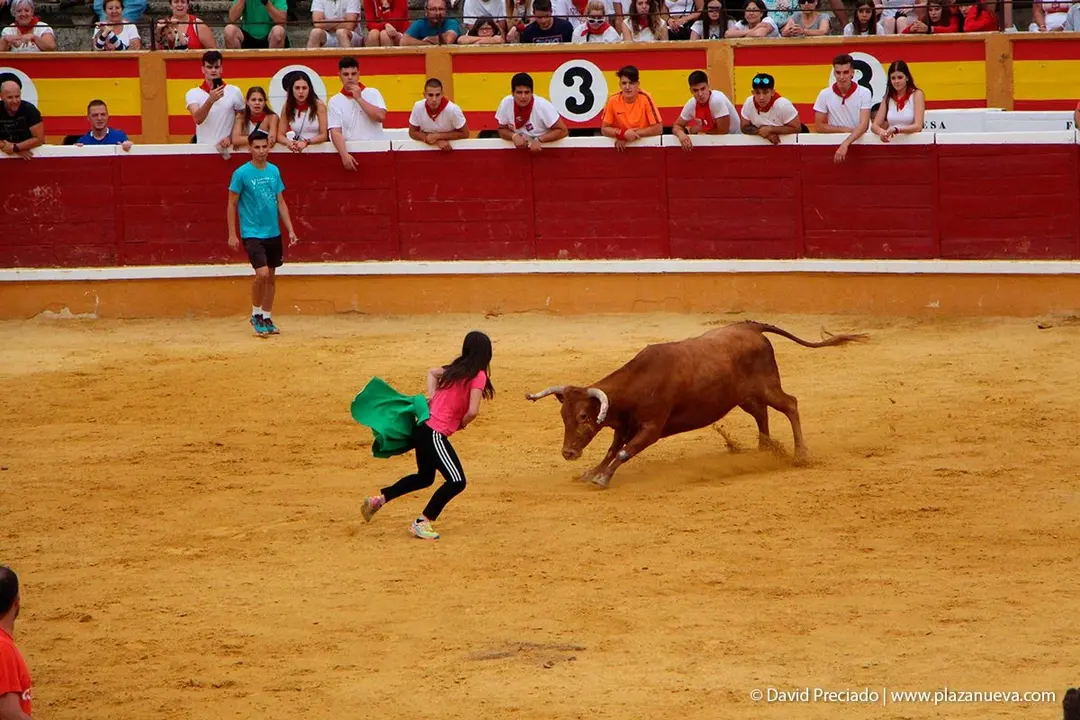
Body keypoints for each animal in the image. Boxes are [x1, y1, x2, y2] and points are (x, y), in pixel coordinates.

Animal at [525, 321, 866, 488]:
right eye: (563, 416)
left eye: (584, 415)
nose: (568, 453)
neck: (638, 384)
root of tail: (751, 328)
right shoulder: (624, 426)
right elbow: (612, 450)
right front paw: (590, 473)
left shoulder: (651, 428)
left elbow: (623, 452)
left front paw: (602, 478)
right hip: (744, 397)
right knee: (762, 414)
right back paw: (764, 450)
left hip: (767, 387)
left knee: (790, 404)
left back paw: (800, 454)